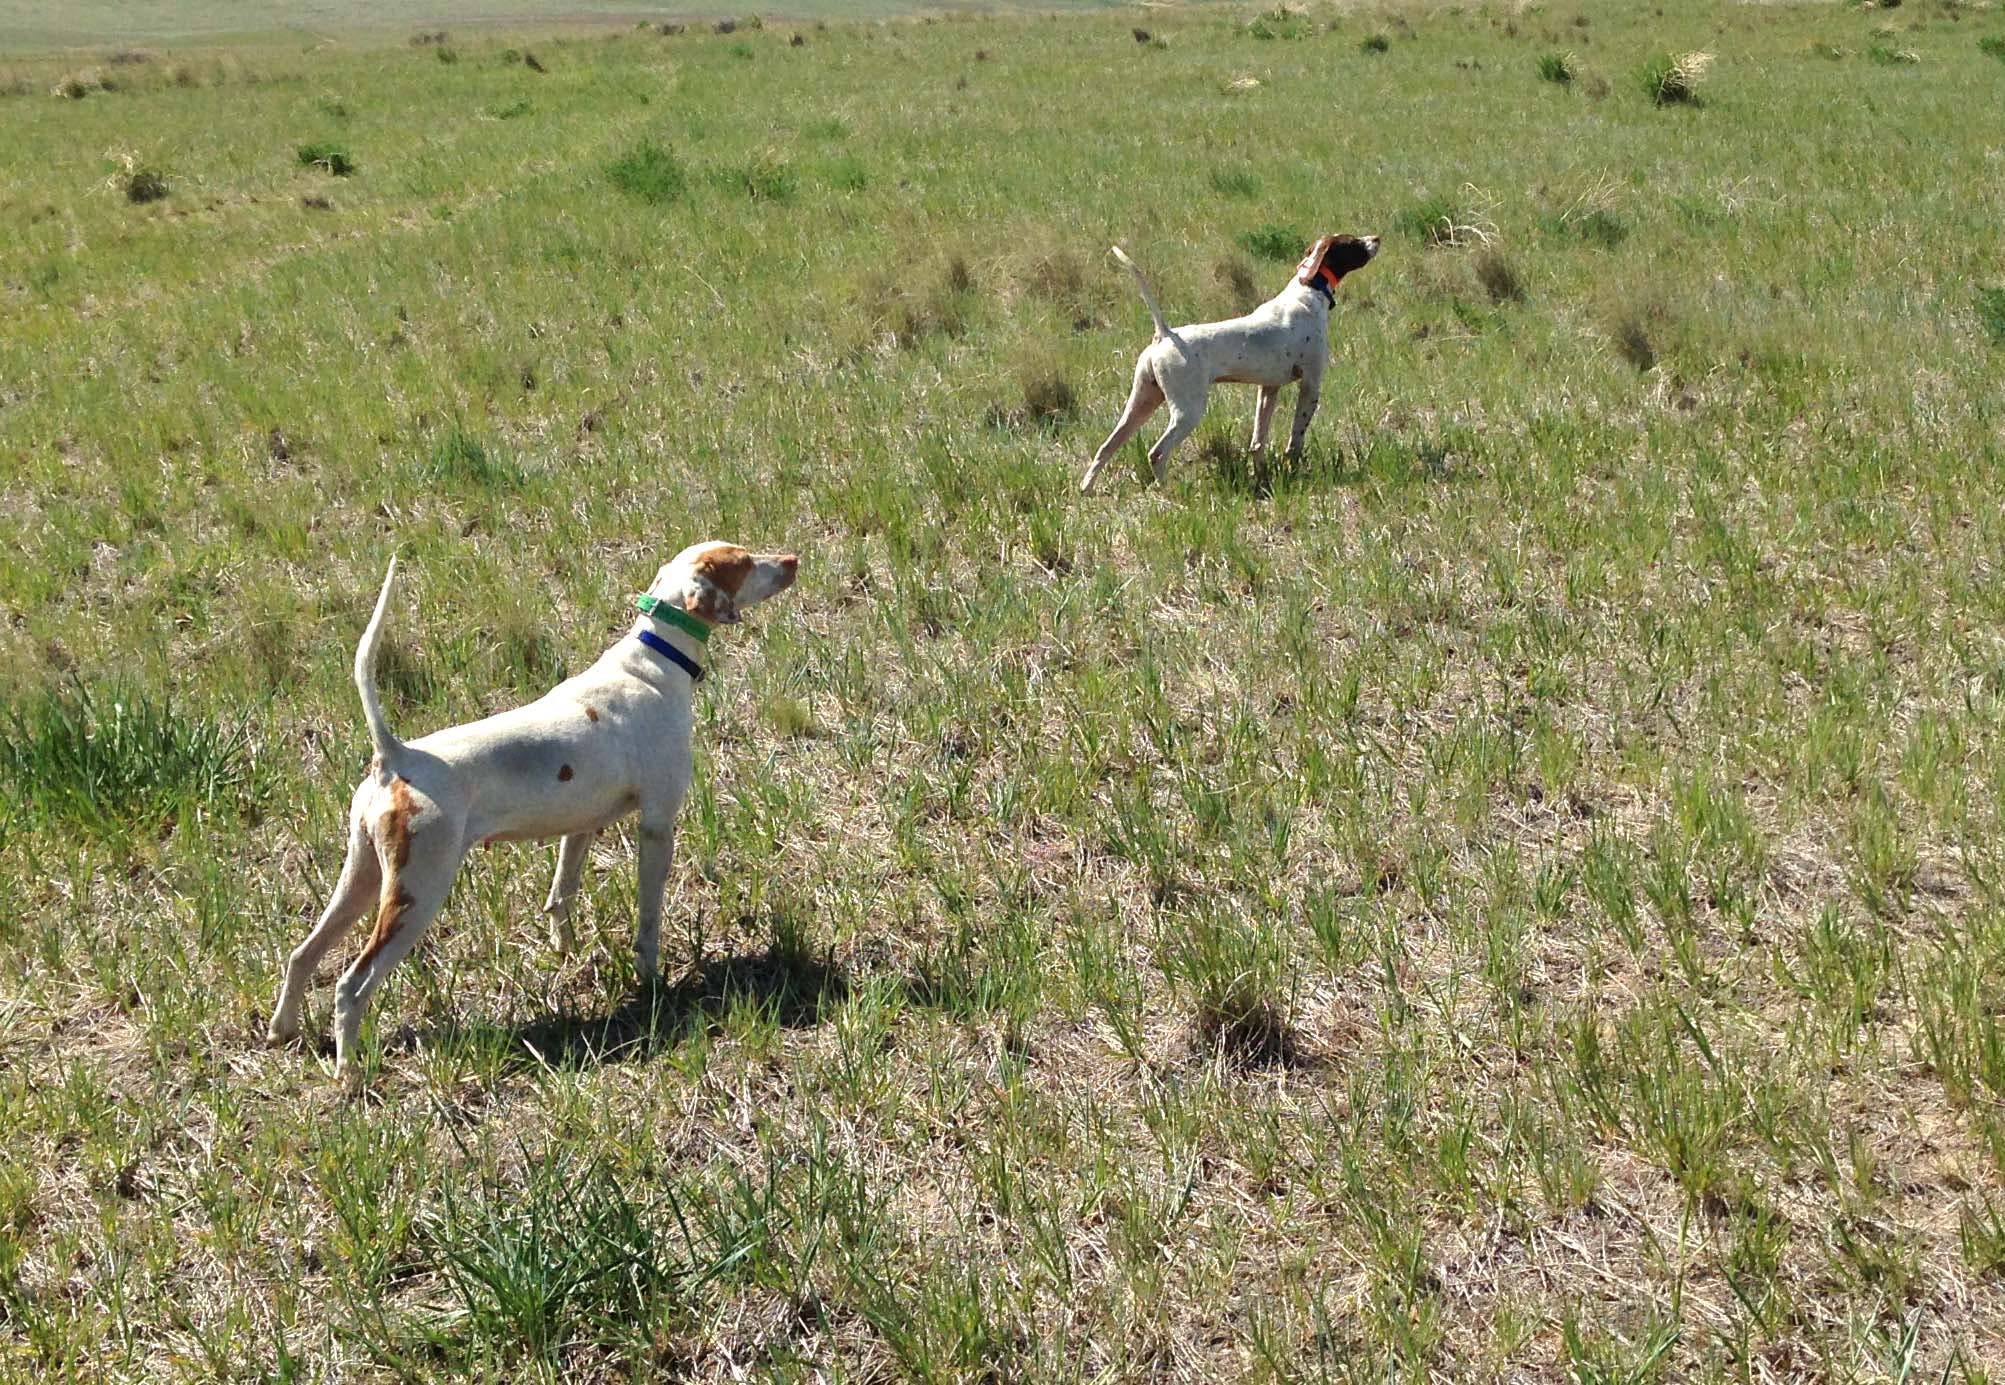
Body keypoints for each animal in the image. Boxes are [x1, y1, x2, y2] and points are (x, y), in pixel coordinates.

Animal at [268, 537, 797, 1082]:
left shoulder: (582, 827)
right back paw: (349, 1072)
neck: (653, 662)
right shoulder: (657, 827)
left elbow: (560, 896)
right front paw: (651, 981)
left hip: (361, 880)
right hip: (417, 895)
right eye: (743, 561)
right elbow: (648, 920)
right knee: (351, 984)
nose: (793, 561)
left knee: (301, 955)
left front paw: (568, 955)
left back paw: (282, 1031)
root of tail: (395, 758)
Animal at [1082, 235, 1379, 495]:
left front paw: (1263, 478)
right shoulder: (1310, 384)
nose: (1376, 238)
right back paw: (1168, 492)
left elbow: (1258, 441)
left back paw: (1086, 488)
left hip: (1141, 402)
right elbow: (1296, 440)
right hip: (1187, 410)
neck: (1307, 291)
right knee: (1157, 453)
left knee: (1106, 447)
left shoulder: (1268, 389)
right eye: (1352, 241)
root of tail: (1165, 335)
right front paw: (1292, 470)